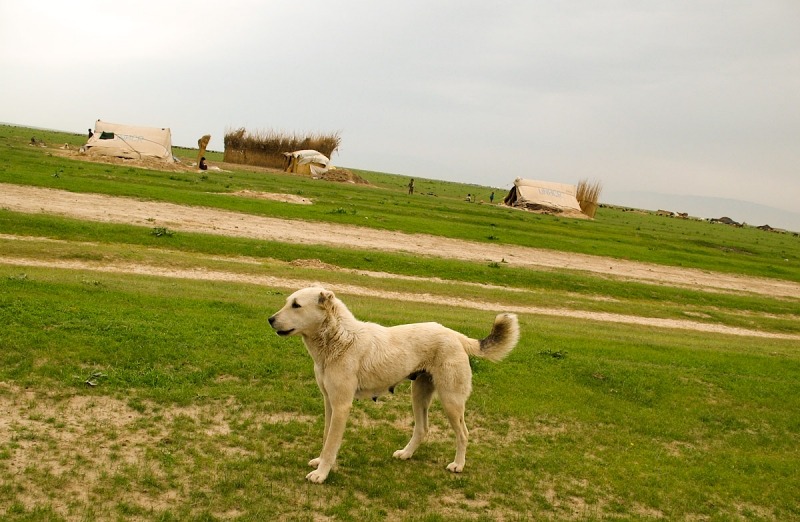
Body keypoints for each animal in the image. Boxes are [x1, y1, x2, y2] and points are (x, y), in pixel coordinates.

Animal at [268, 286, 520, 482]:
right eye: (288, 302)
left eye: (296, 305)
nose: (270, 320)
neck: (339, 338)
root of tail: (455, 335)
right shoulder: (329, 402)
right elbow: (326, 438)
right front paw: (320, 462)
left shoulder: (341, 406)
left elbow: (331, 443)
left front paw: (321, 474)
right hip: (418, 395)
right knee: (422, 428)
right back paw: (406, 454)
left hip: (451, 402)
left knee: (464, 434)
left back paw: (458, 465)